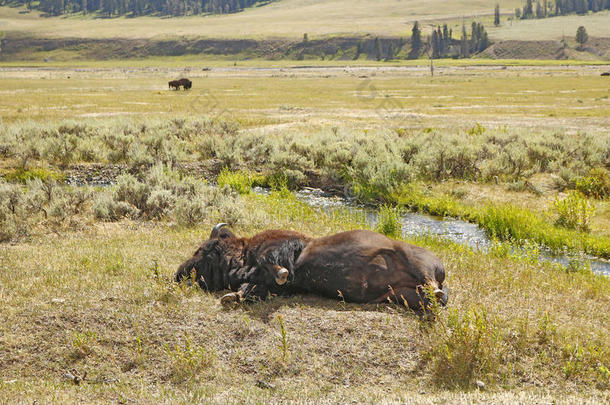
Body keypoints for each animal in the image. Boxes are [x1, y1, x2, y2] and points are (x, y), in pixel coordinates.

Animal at [176, 224, 446, 312]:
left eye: (204, 250)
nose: (179, 273)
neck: (244, 255)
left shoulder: (278, 248)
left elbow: (272, 263)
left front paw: (282, 273)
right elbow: (252, 289)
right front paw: (233, 296)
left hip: (416, 261)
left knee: (432, 285)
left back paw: (436, 290)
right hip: (401, 295)